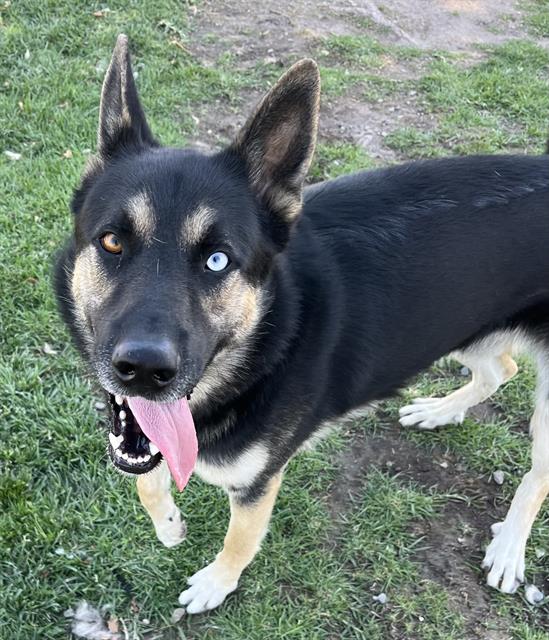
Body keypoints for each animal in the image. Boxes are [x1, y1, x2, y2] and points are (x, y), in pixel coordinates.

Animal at [55, 36, 548, 616]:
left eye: (218, 261)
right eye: (112, 241)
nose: (144, 370)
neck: (265, 344)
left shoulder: (259, 482)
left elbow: (240, 539)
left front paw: (216, 583)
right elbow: (147, 478)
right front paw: (169, 523)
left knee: (537, 473)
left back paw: (510, 547)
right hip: (459, 327)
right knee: (502, 367)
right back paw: (439, 410)